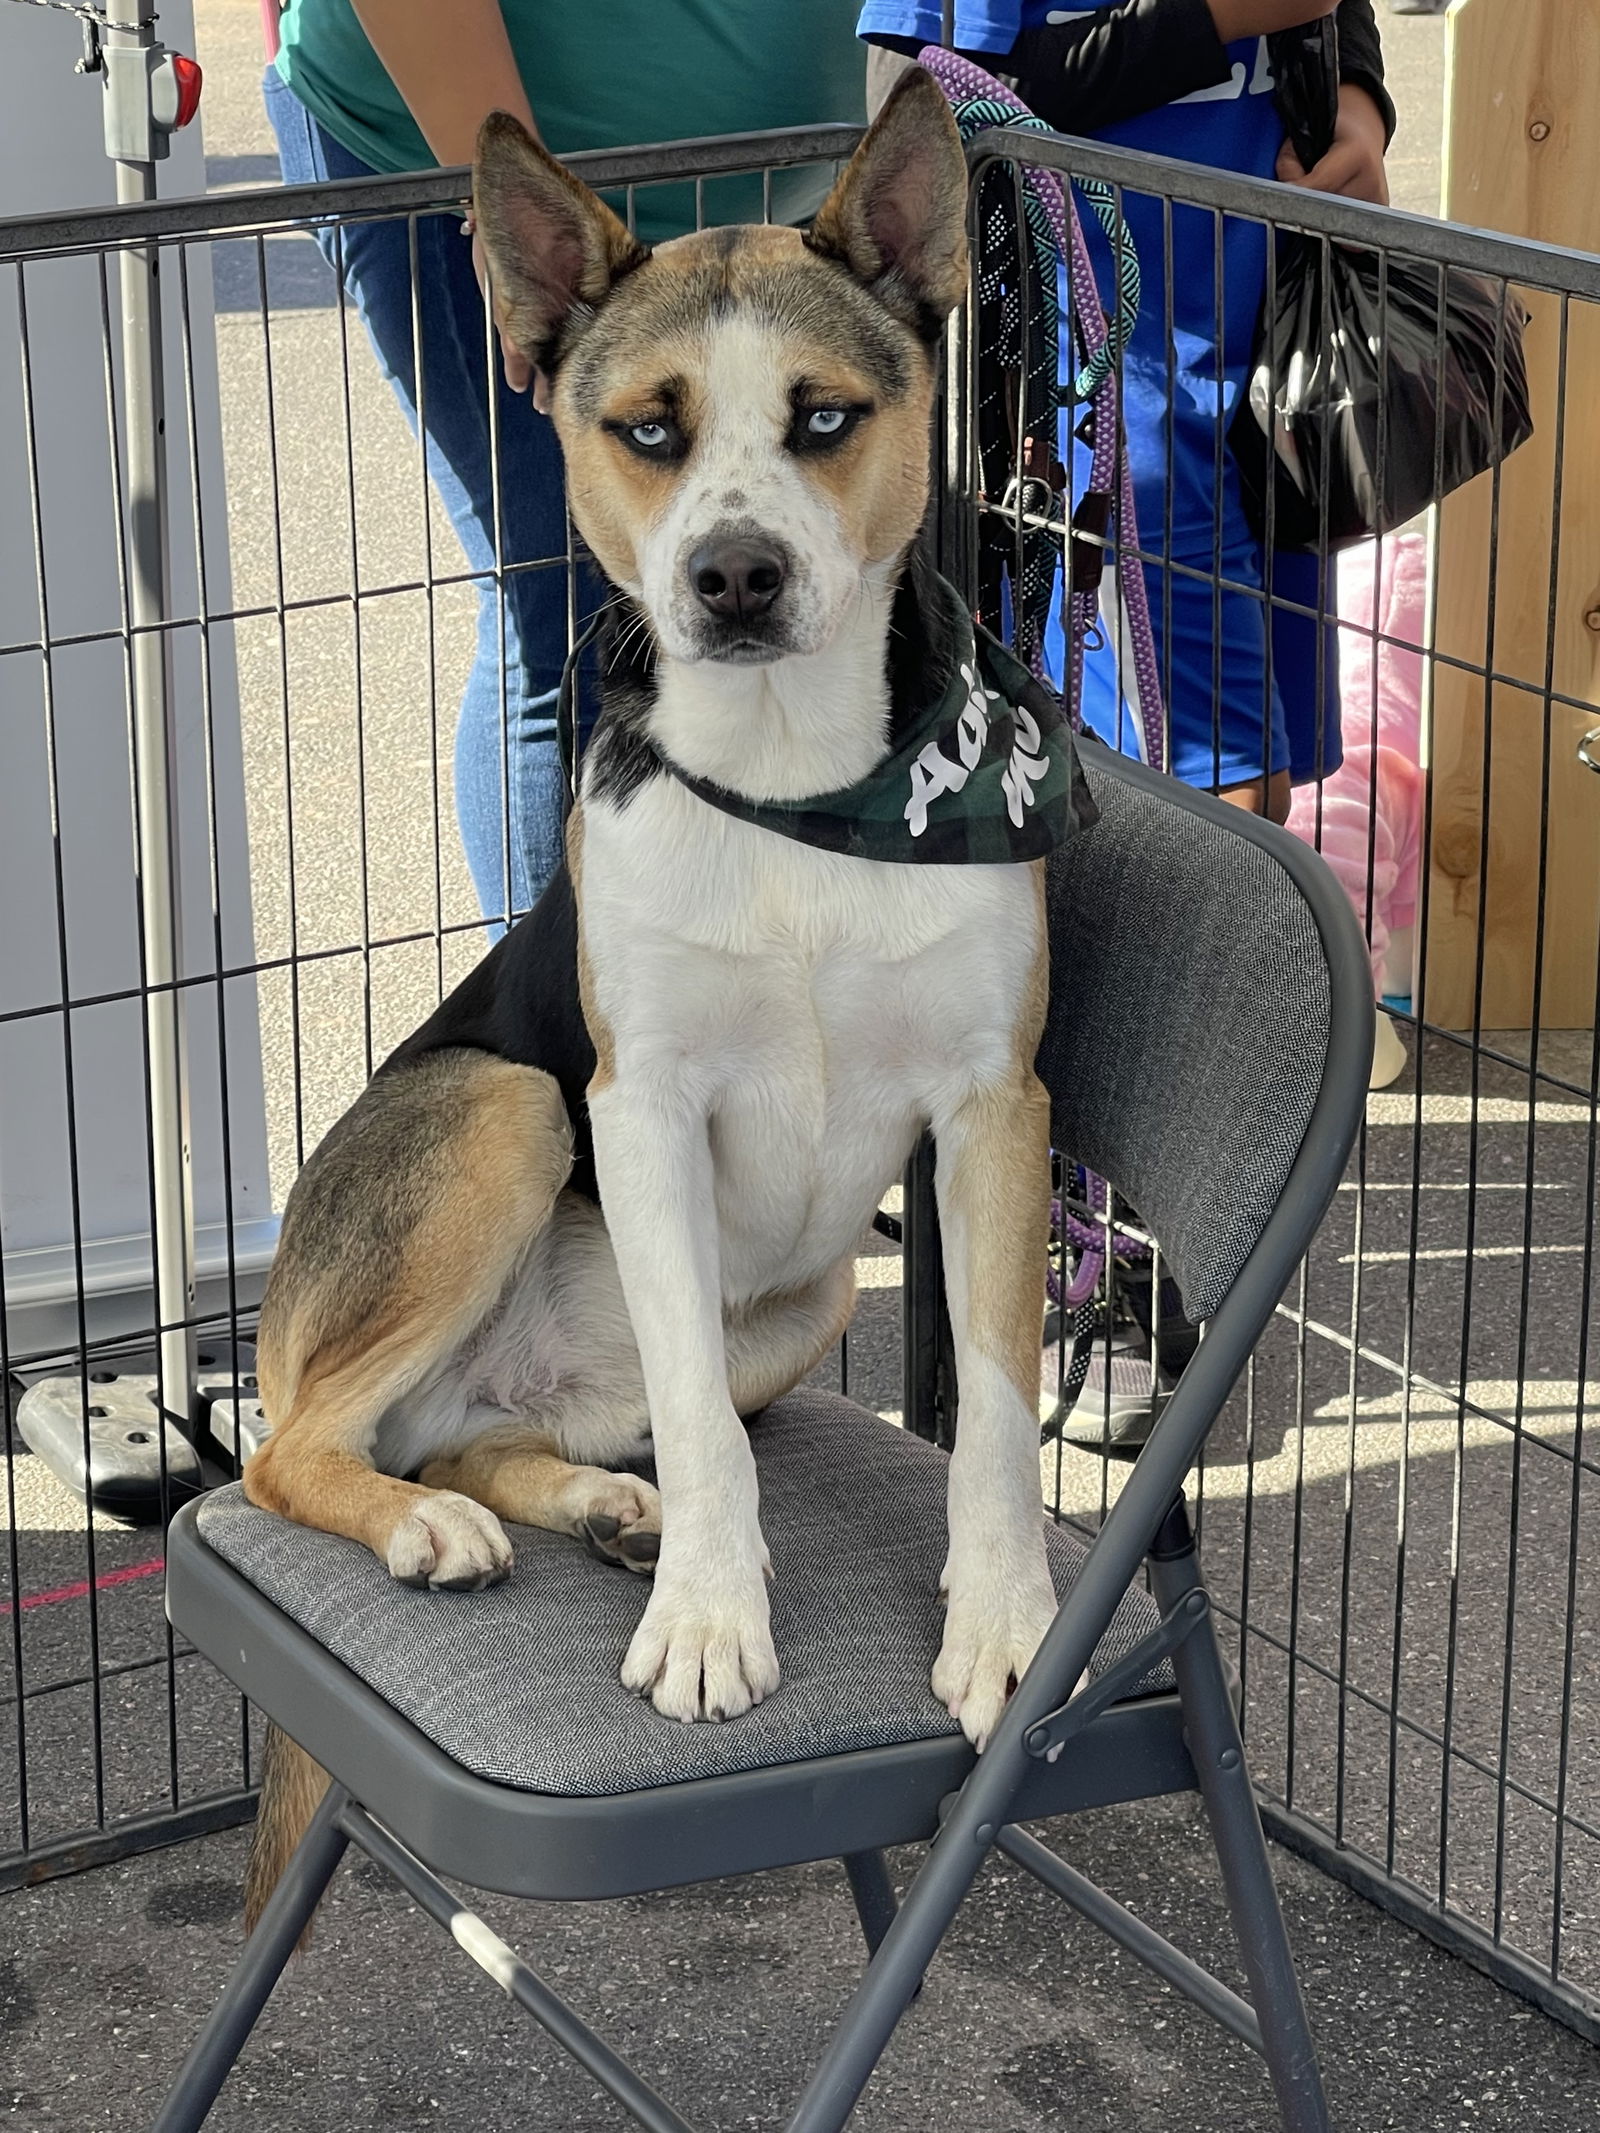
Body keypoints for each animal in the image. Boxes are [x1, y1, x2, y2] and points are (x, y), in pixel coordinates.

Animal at [241, 75, 1092, 1928]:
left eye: (826, 414)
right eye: (646, 430)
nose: (736, 576)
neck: (795, 792)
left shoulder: (995, 1112)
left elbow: (997, 1411)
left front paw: (1003, 1620)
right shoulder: (639, 1112)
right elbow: (708, 1425)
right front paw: (710, 1615)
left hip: (811, 1301)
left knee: (452, 1438)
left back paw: (571, 1497)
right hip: (505, 1112)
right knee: (287, 1452)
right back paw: (441, 1526)